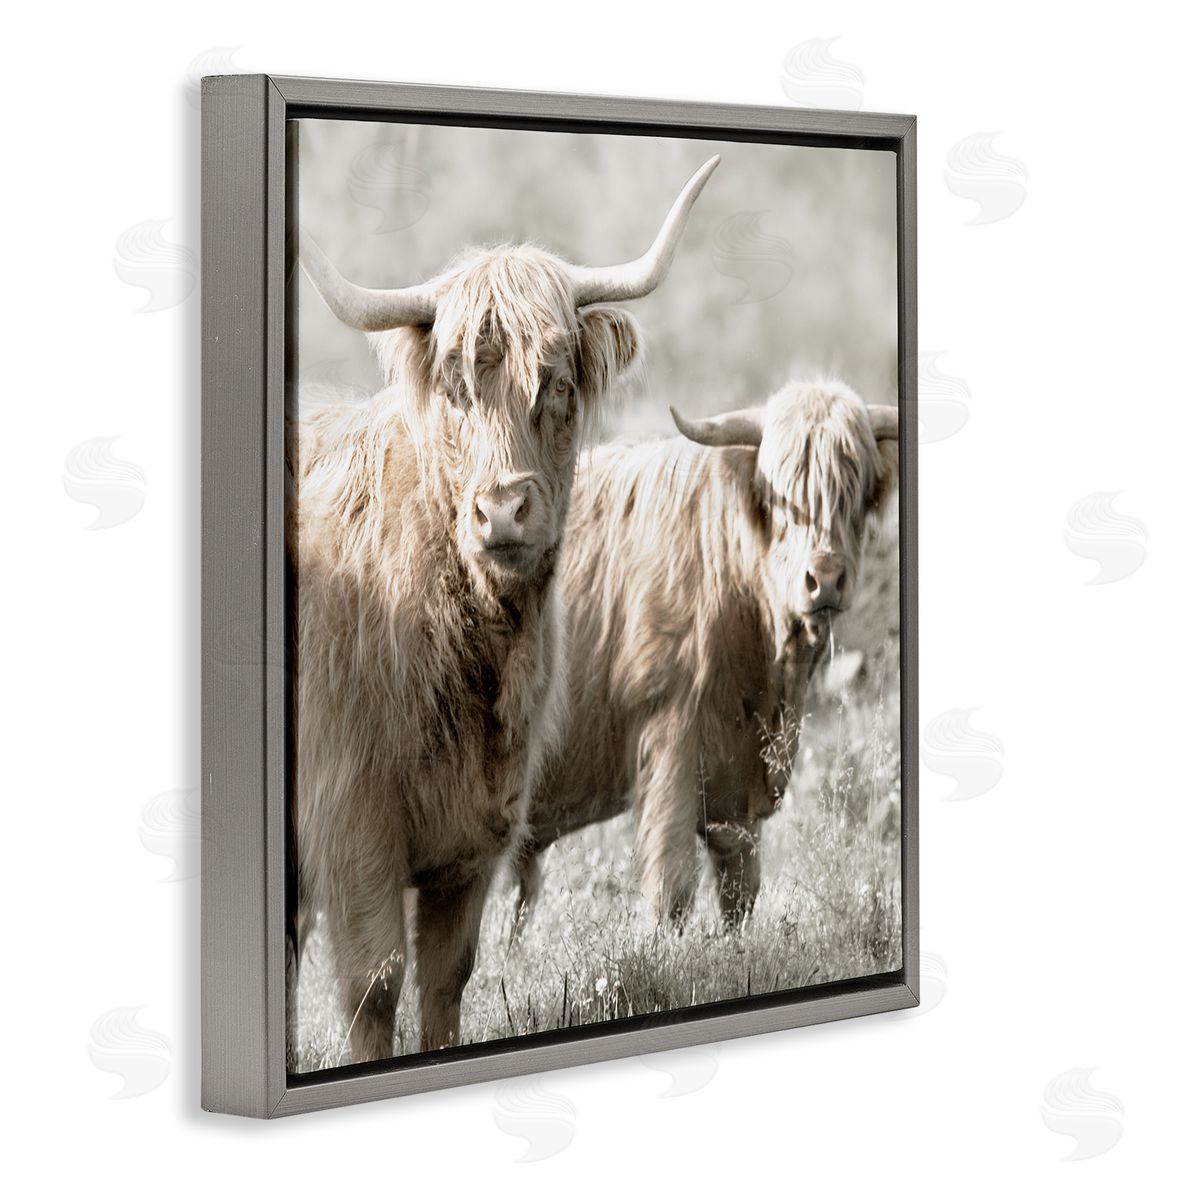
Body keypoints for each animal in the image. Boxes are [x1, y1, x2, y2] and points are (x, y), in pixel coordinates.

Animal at [288, 156, 720, 1063]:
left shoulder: (473, 842)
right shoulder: (350, 826)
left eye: (556, 381)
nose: (503, 510)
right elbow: (375, 988)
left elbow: (446, 981)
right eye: (455, 387)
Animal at [514, 379, 899, 930]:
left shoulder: (738, 787)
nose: (824, 579)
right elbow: (670, 888)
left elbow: (740, 891)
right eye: (780, 499)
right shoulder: (670, 739)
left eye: (855, 493)